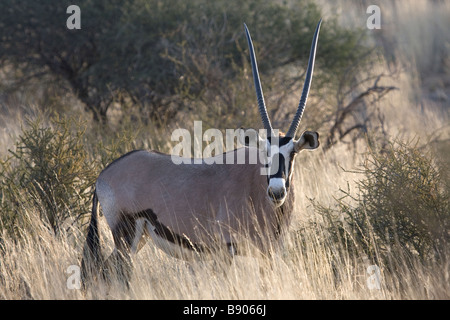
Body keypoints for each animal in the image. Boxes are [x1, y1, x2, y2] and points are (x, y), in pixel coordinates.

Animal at [80, 20, 320, 284]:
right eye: (264, 153)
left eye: (292, 153)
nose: (276, 192)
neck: (256, 189)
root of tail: (104, 174)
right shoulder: (226, 250)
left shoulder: (267, 253)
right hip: (126, 235)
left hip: (137, 238)